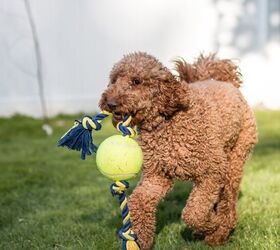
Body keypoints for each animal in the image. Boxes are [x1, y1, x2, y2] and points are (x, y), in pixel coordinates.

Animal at [99, 51, 258, 249]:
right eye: (114, 80)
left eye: (136, 81)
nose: (110, 103)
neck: (167, 122)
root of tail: (228, 83)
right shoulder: (156, 176)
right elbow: (138, 202)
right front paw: (141, 239)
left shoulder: (213, 172)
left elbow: (193, 213)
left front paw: (211, 224)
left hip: (235, 158)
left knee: (228, 199)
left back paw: (219, 233)